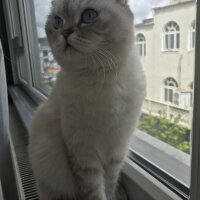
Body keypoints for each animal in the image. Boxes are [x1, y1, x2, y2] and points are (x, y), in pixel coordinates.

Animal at [28, 0, 146, 199]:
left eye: (89, 16)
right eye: (58, 22)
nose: (65, 32)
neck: (99, 79)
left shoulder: (116, 150)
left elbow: (109, 187)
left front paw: (112, 195)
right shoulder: (83, 152)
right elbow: (95, 191)